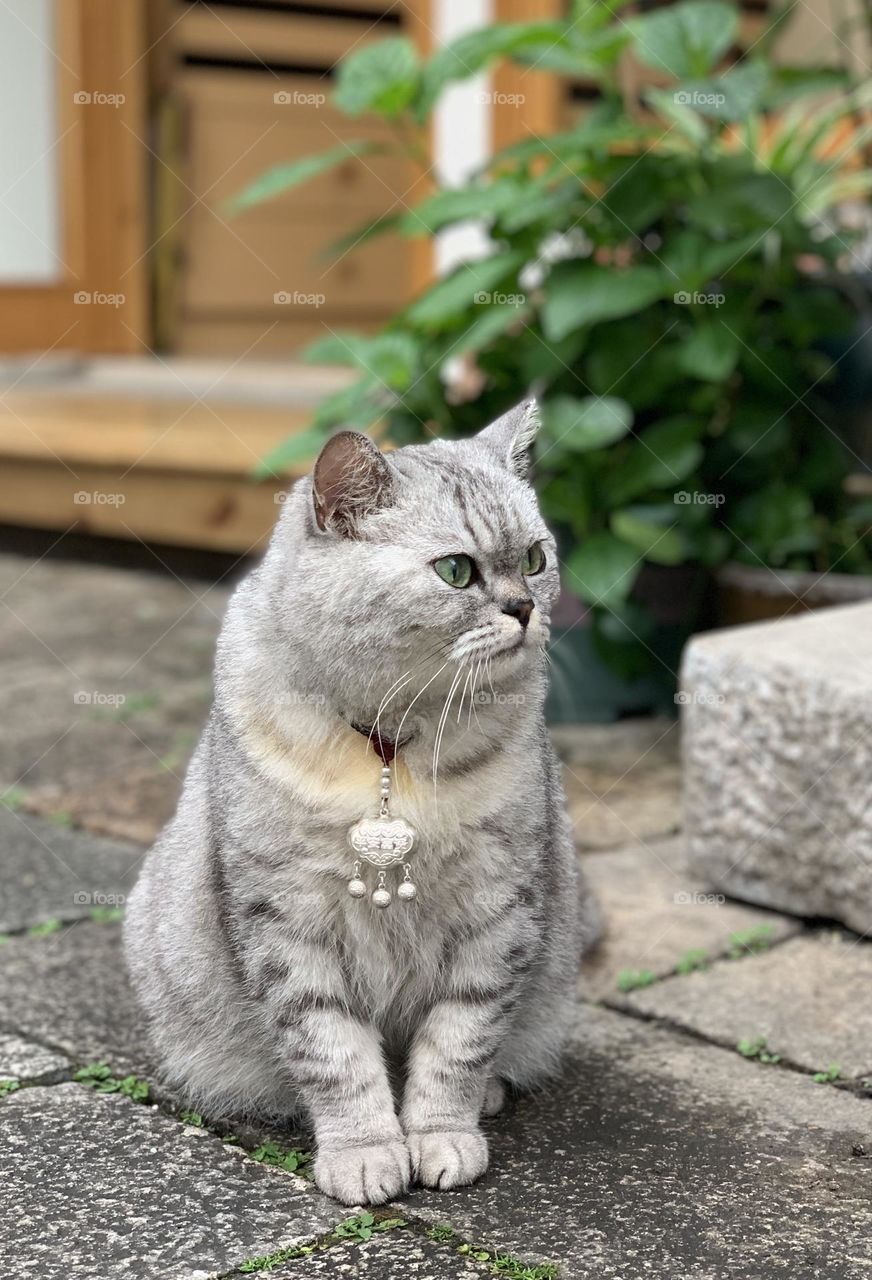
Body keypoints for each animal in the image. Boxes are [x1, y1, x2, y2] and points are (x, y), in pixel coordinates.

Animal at [126, 404, 594, 1203]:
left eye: (534, 558)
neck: (388, 751)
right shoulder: (284, 922)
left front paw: (441, 1137)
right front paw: (367, 1153)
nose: (526, 608)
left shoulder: (500, 908)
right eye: (456, 570)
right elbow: (333, 1055)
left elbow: (459, 1044)